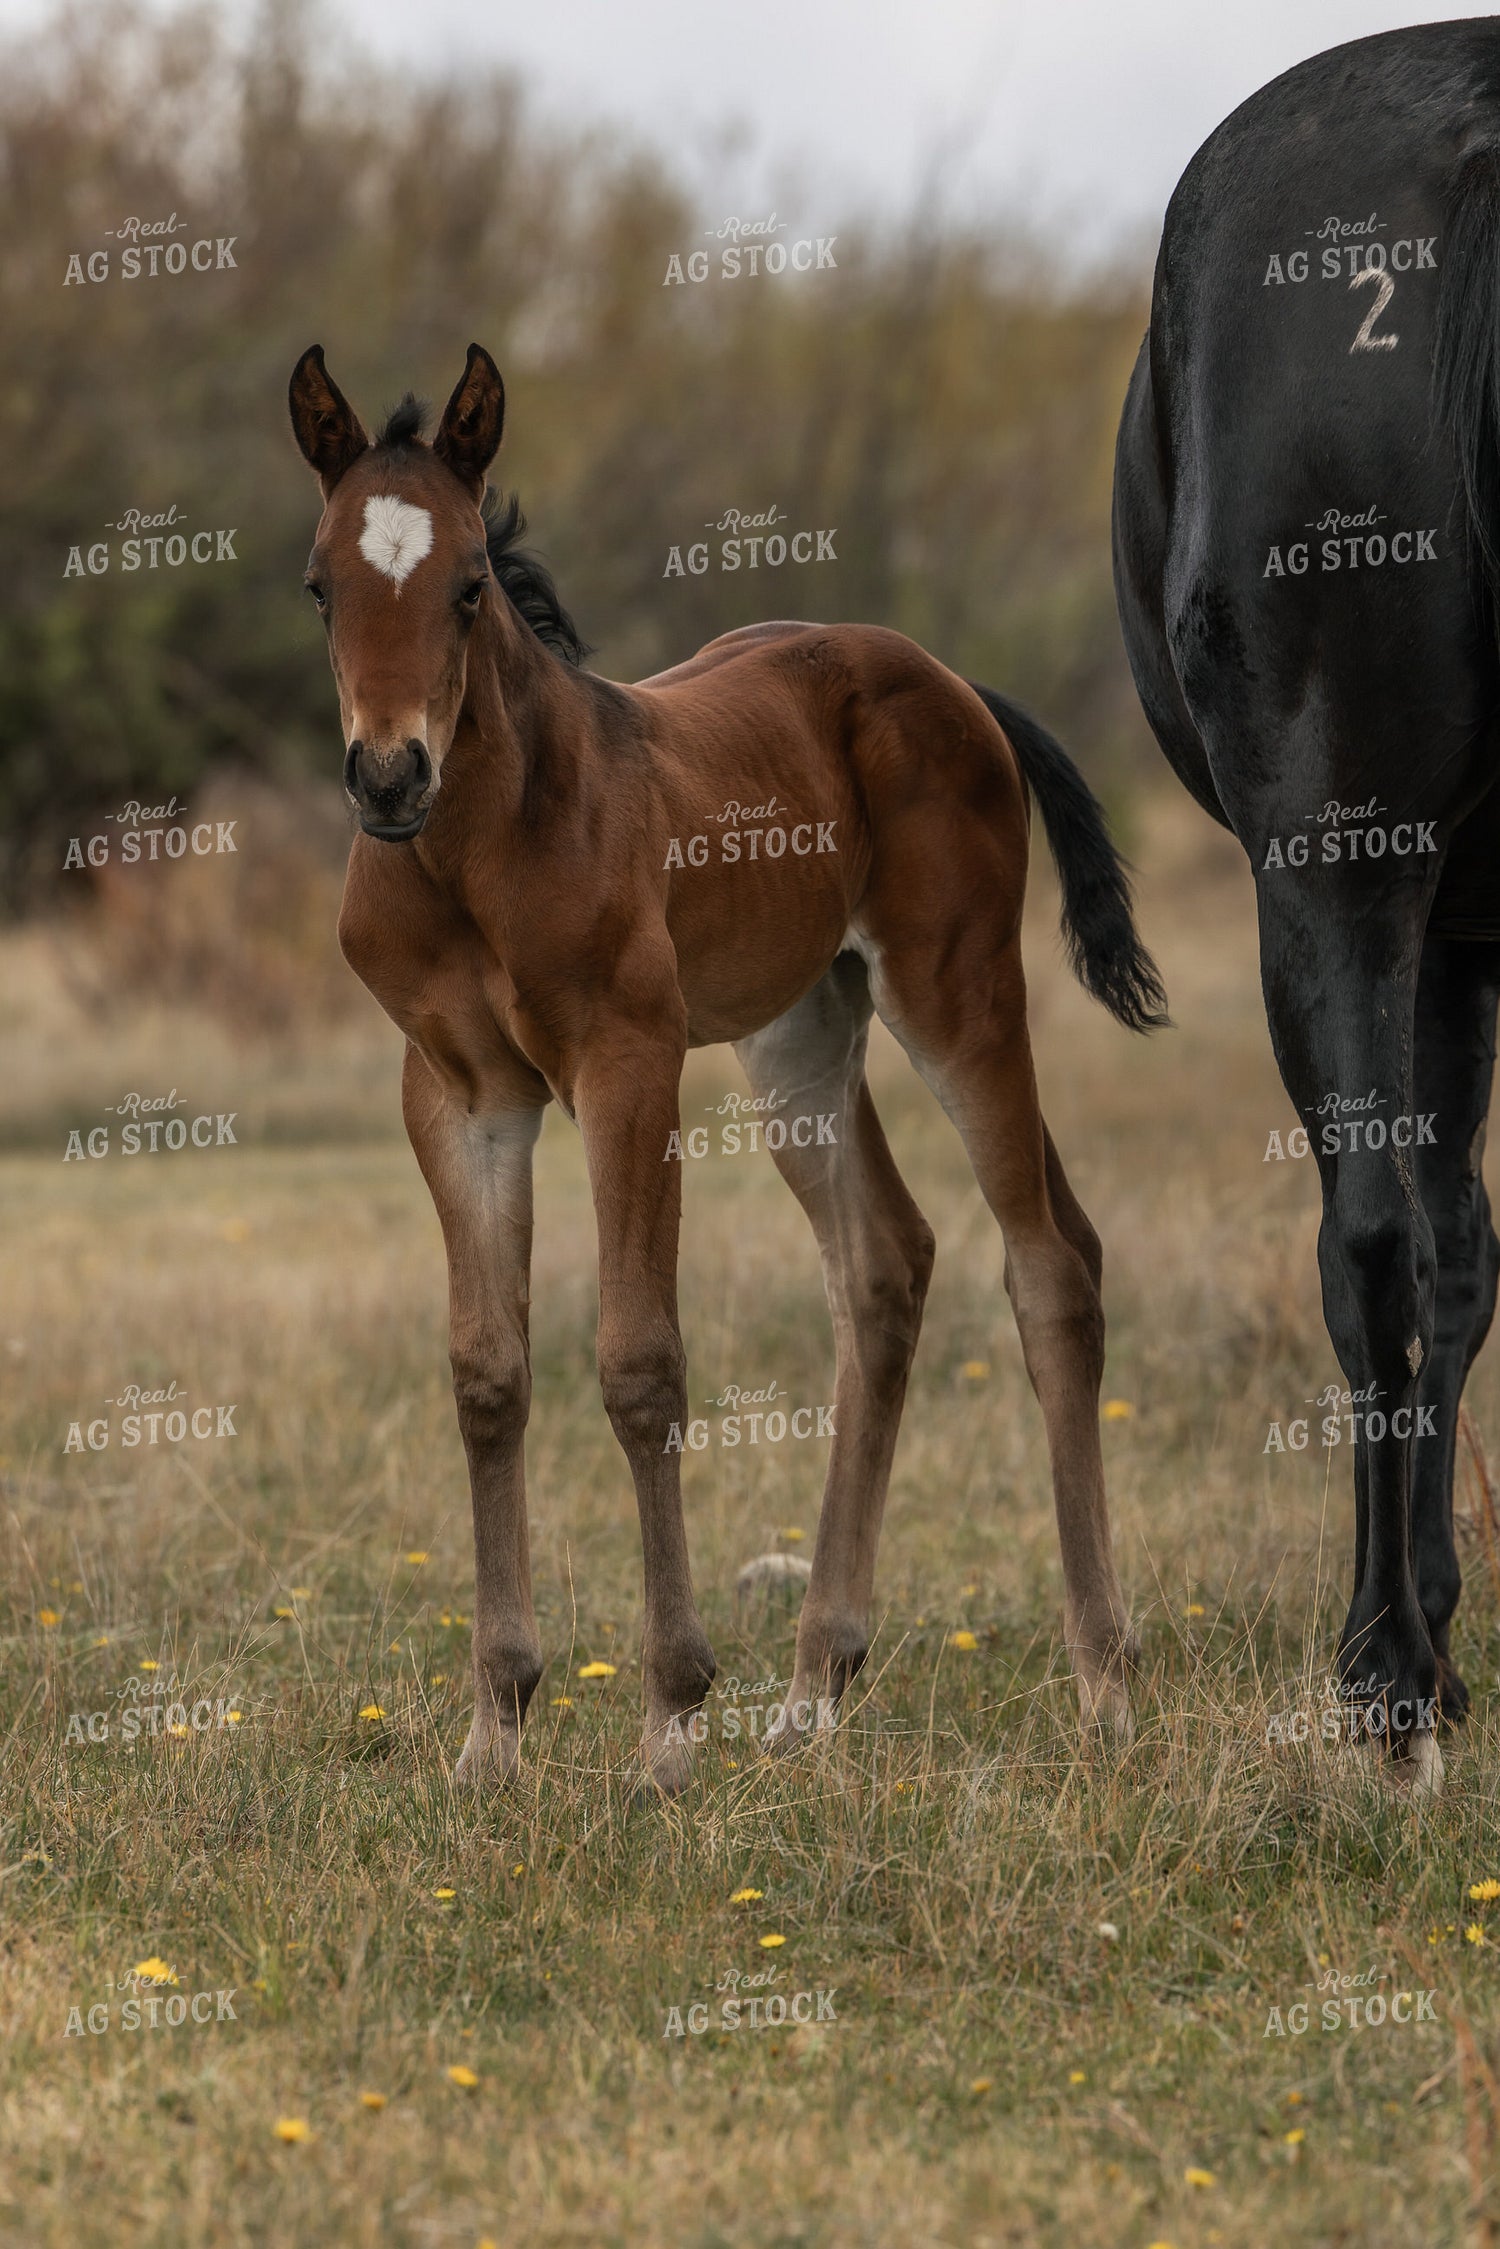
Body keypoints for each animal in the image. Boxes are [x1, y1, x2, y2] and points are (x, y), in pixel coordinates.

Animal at [289, 340, 1166, 1792]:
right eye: (320, 583)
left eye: (467, 584)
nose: (388, 775)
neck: (478, 849)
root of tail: (956, 685)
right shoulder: (460, 1098)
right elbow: (487, 1371)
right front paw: (493, 1731)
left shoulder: (627, 1062)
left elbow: (640, 1365)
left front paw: (671, 1720)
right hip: (800, 1033)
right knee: (888, 1265)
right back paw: (816, 1685)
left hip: (959, 991)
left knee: (1049, 1265)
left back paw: (1102, 1685)